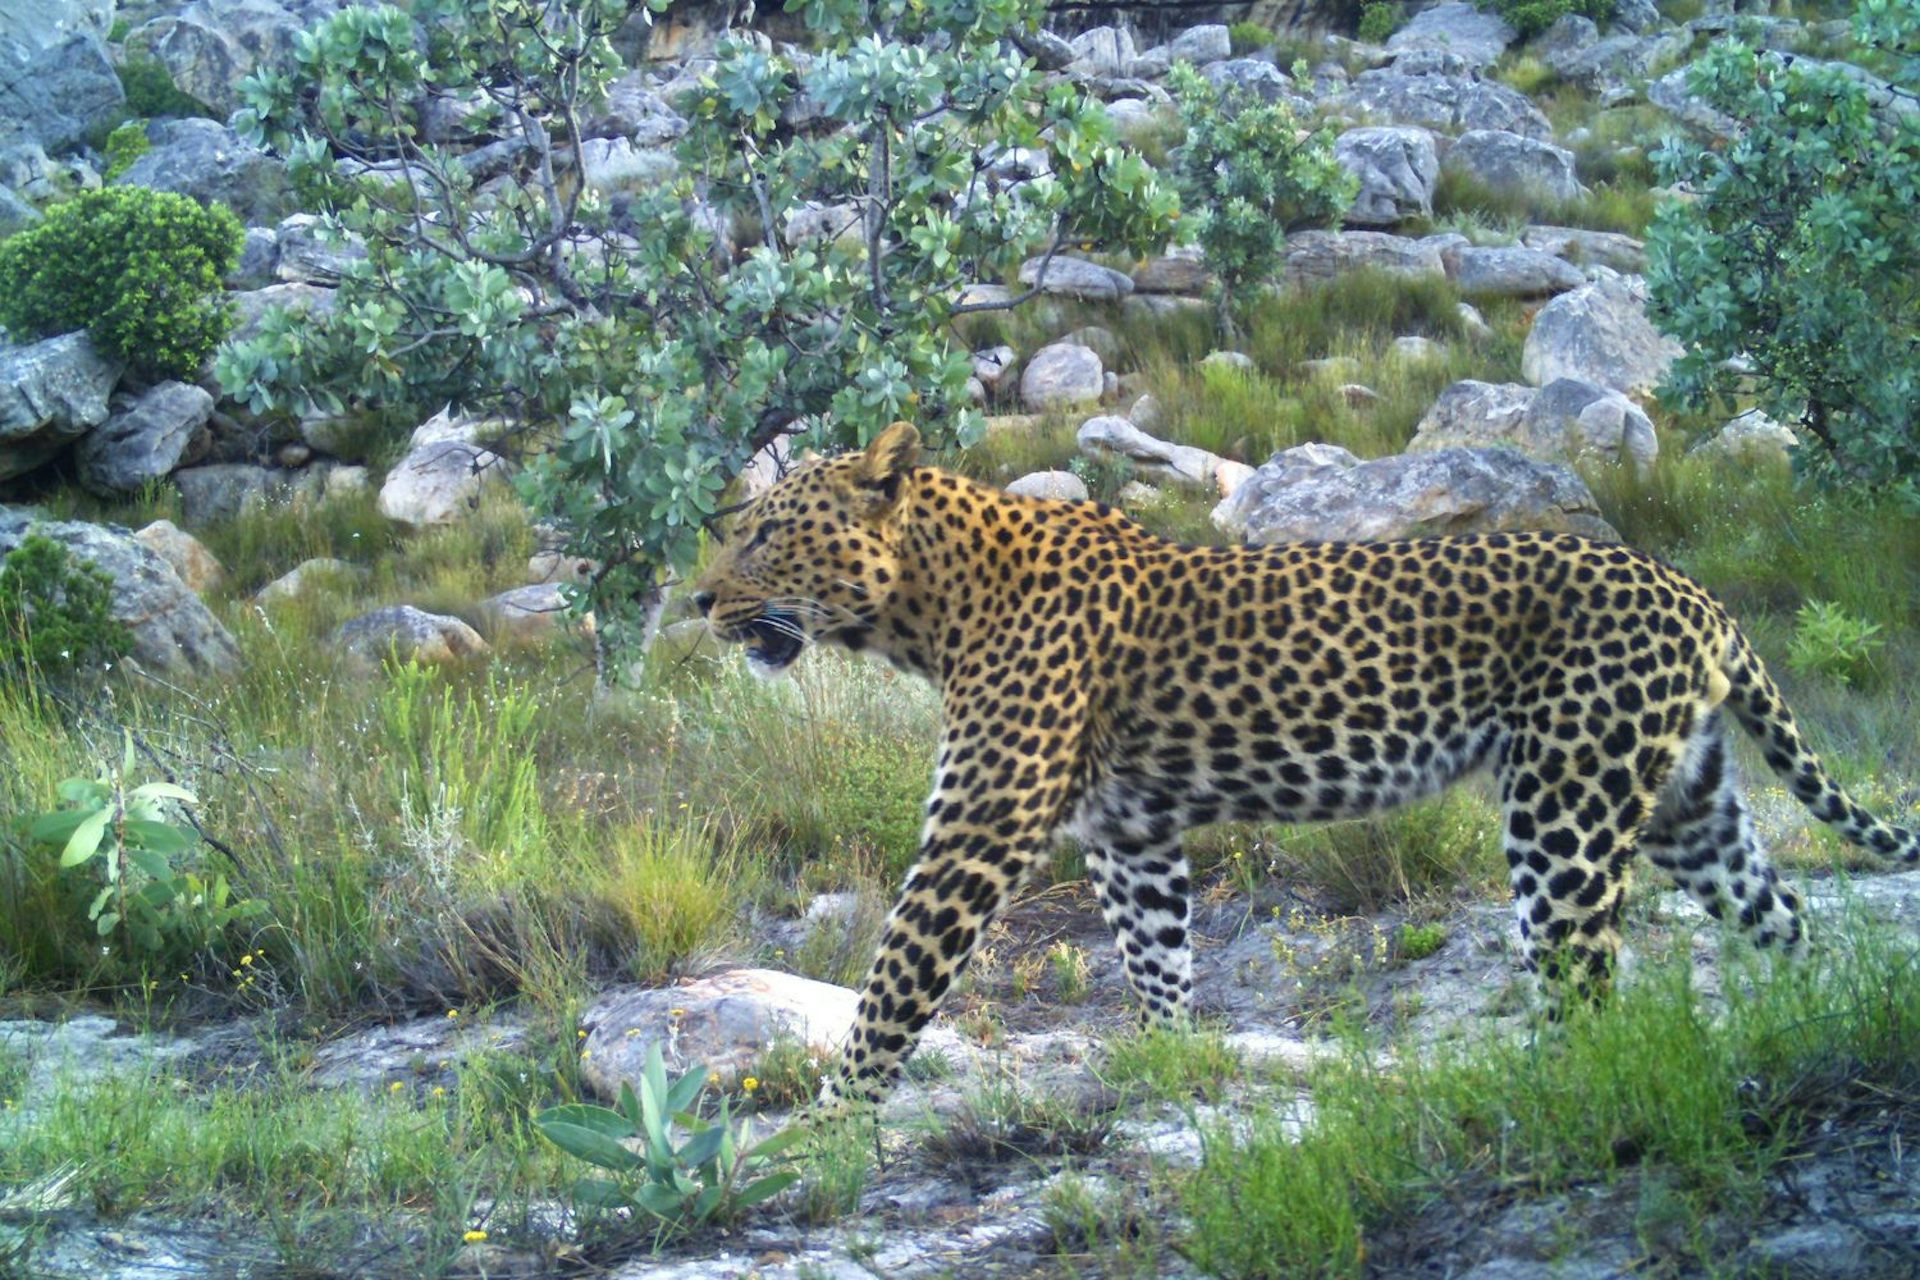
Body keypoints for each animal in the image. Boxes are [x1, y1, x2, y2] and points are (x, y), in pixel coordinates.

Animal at [691, 421, 1919, 1108]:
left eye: (765, 533)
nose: (699, 600)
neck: (926, 609)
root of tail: (1692, 590)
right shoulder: (1132, 836)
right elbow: (1157, 963)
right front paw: (1172, 1071)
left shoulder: (977, 830)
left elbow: (893, 986)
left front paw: (828, 1126)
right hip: (1683, 805)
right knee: (1786, 918)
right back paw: (1812, 1031)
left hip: (1565, 813)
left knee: (1585, 986)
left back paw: (1563, 1101)